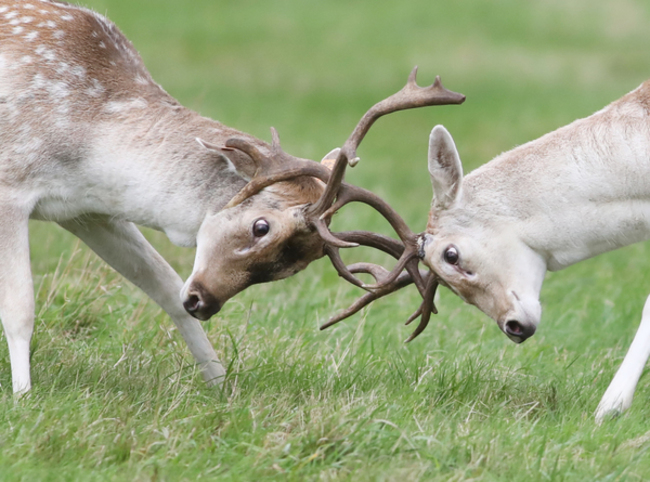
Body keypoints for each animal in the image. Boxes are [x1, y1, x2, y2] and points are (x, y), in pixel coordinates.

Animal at [0, 0, 465, 394]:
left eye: (291, 268)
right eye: (261, 226)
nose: (202, 302)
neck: (88, 134)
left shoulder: (86, 211)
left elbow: (163, 284)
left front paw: (220, 385)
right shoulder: (12, 186)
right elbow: (20, 305)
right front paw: (25, 398)